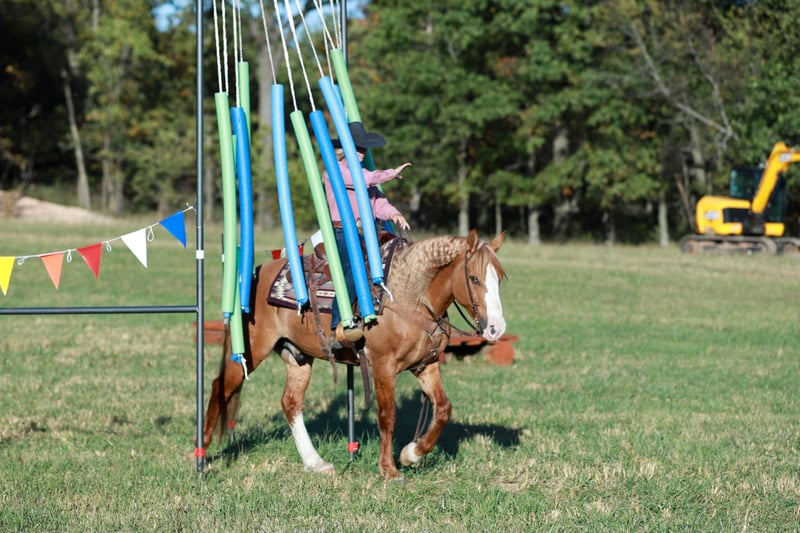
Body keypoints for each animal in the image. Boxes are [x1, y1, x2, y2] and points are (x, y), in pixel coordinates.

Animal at [201, 229, 507, 481]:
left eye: (500, 279)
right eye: (474, 278)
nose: (496, 328)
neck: (409, 295)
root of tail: (254, 274)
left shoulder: (426, 366)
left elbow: (443, 409)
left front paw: (412, 454)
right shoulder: (383, 366)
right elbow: (387, 415)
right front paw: (389, 470)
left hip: (298, 356)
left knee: (291, 403)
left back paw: (315, 462)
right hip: (251, 349)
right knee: (220, 387)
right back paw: (202, 456)